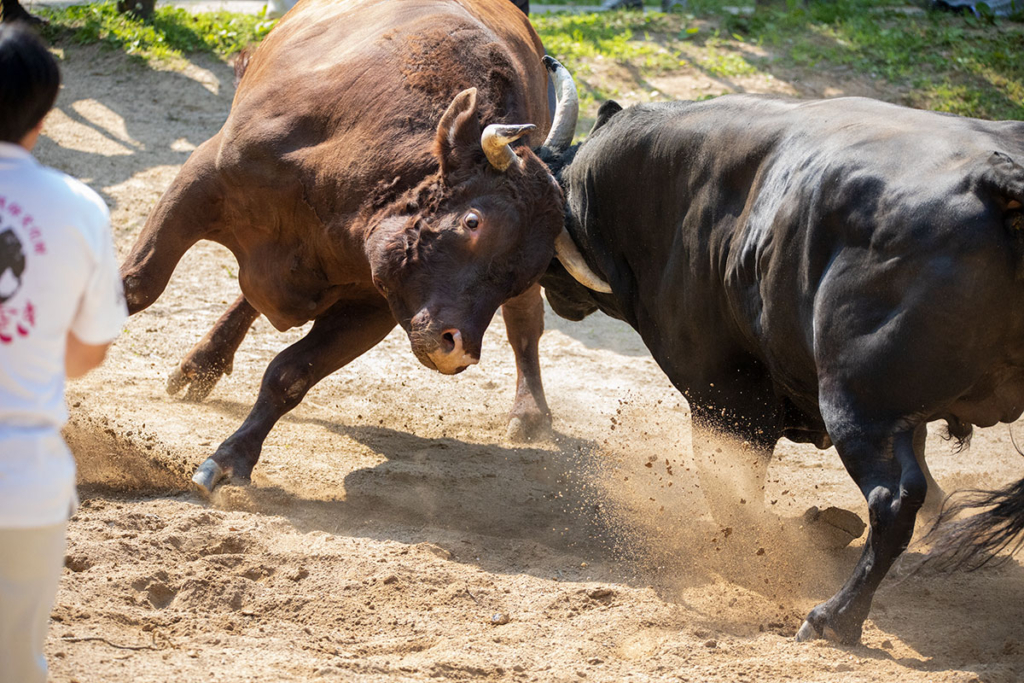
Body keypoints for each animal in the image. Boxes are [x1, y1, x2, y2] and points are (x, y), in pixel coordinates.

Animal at [120, 0, 602, 493]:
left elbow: (291, 375)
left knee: (525, 323)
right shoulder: (200, 182)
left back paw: (530, 412)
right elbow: (137, 286)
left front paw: (229, 460)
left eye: (523, 273)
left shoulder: (377, 303)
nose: (458, 349)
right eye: (473, 221)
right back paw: (200, 365)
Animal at [540, 94, 1024, 647]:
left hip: (856, 404)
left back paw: (834, 617)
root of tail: (996, 179)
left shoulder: (724, 396)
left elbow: (731, 489)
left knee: (893, 501)